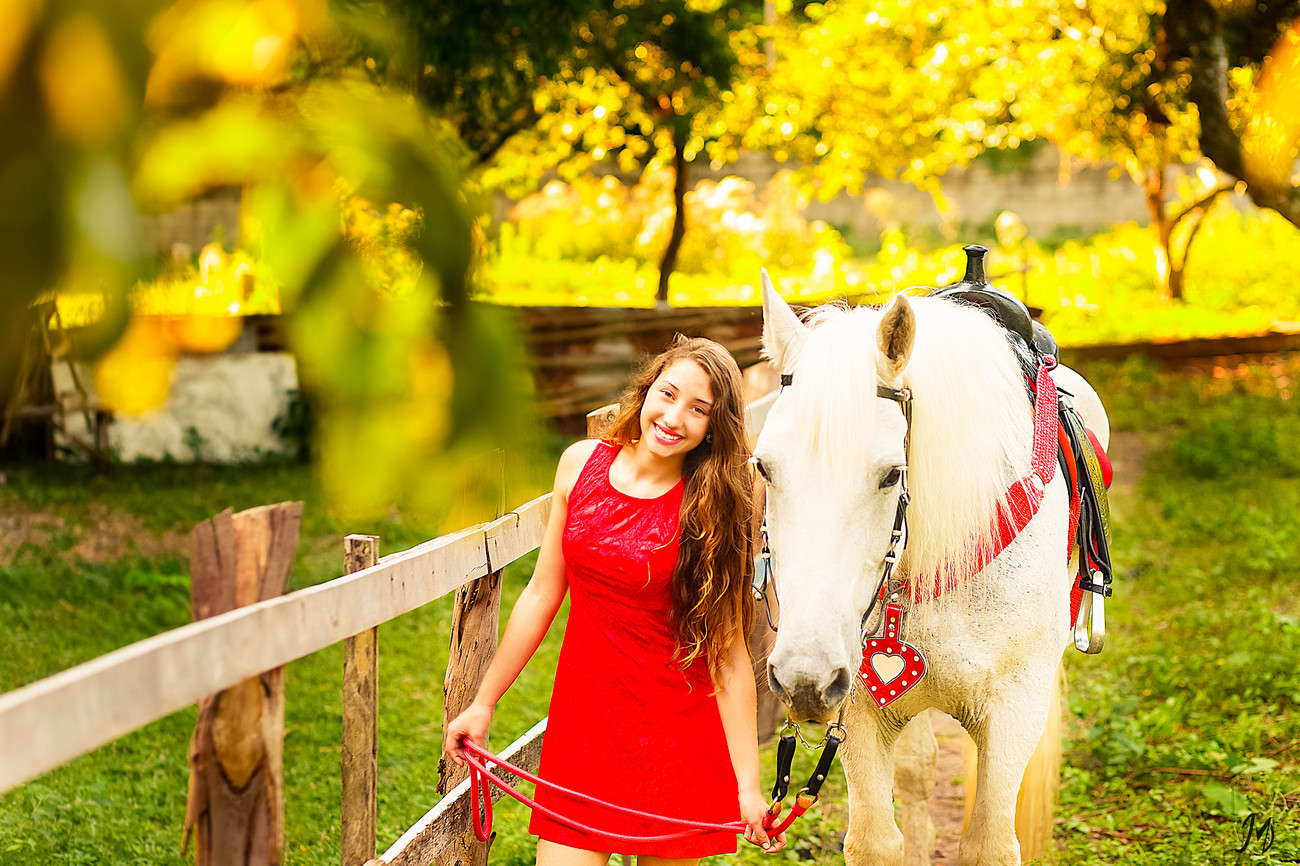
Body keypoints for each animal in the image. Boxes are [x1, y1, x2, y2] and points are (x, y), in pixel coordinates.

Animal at [759, 278, 1112, 863]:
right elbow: (877, 838)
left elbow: (991, 840)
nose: (804, 679)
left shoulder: (1015, 707)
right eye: (762, 467)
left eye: (891, 474)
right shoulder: (860, 710)